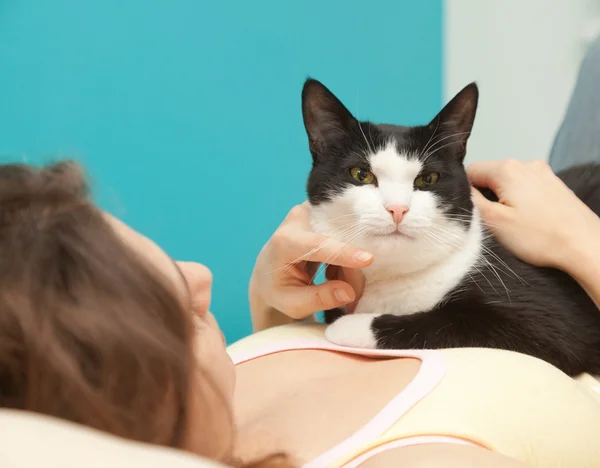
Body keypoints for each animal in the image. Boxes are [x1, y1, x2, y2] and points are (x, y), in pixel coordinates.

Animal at [302, 77, 600, 376]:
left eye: (428, 179)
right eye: (361, 174)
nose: (398, 208)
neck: (392, 278)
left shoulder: (547, 319)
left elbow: (450, 322)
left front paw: (351, 326)